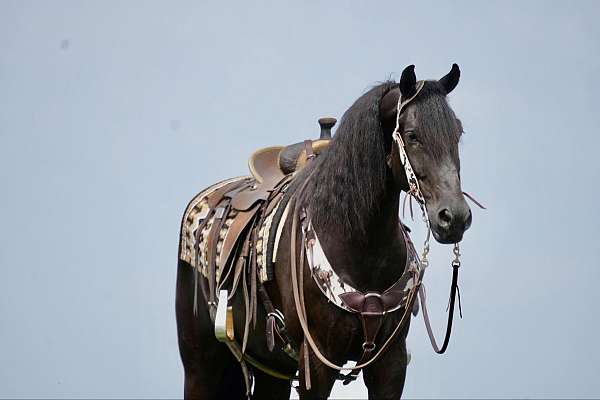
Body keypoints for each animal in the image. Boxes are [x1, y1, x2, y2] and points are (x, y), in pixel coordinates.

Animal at [176, 64, 472, 398]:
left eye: (457, 133)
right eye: (412, 135)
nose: (454, 217)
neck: (360, 247)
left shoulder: (391, 362)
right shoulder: (317, 362)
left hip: (272, 369)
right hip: (200, 365)